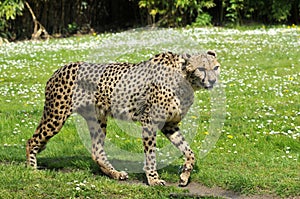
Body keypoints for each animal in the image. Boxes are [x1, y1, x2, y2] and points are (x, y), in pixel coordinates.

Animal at [25, 51, 220, 187]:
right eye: (201, 69)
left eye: (216, 67)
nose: (213, 81)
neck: (185, 80)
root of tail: (59, 69)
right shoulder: (149, 122)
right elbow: (151, 155)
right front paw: (153, 180)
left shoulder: (169, 125)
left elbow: (190, 152)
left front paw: (184, 174)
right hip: (56, 116)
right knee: (31, 140)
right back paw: (32, 171)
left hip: (98, 120)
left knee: (97, 151)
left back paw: (116, 174)